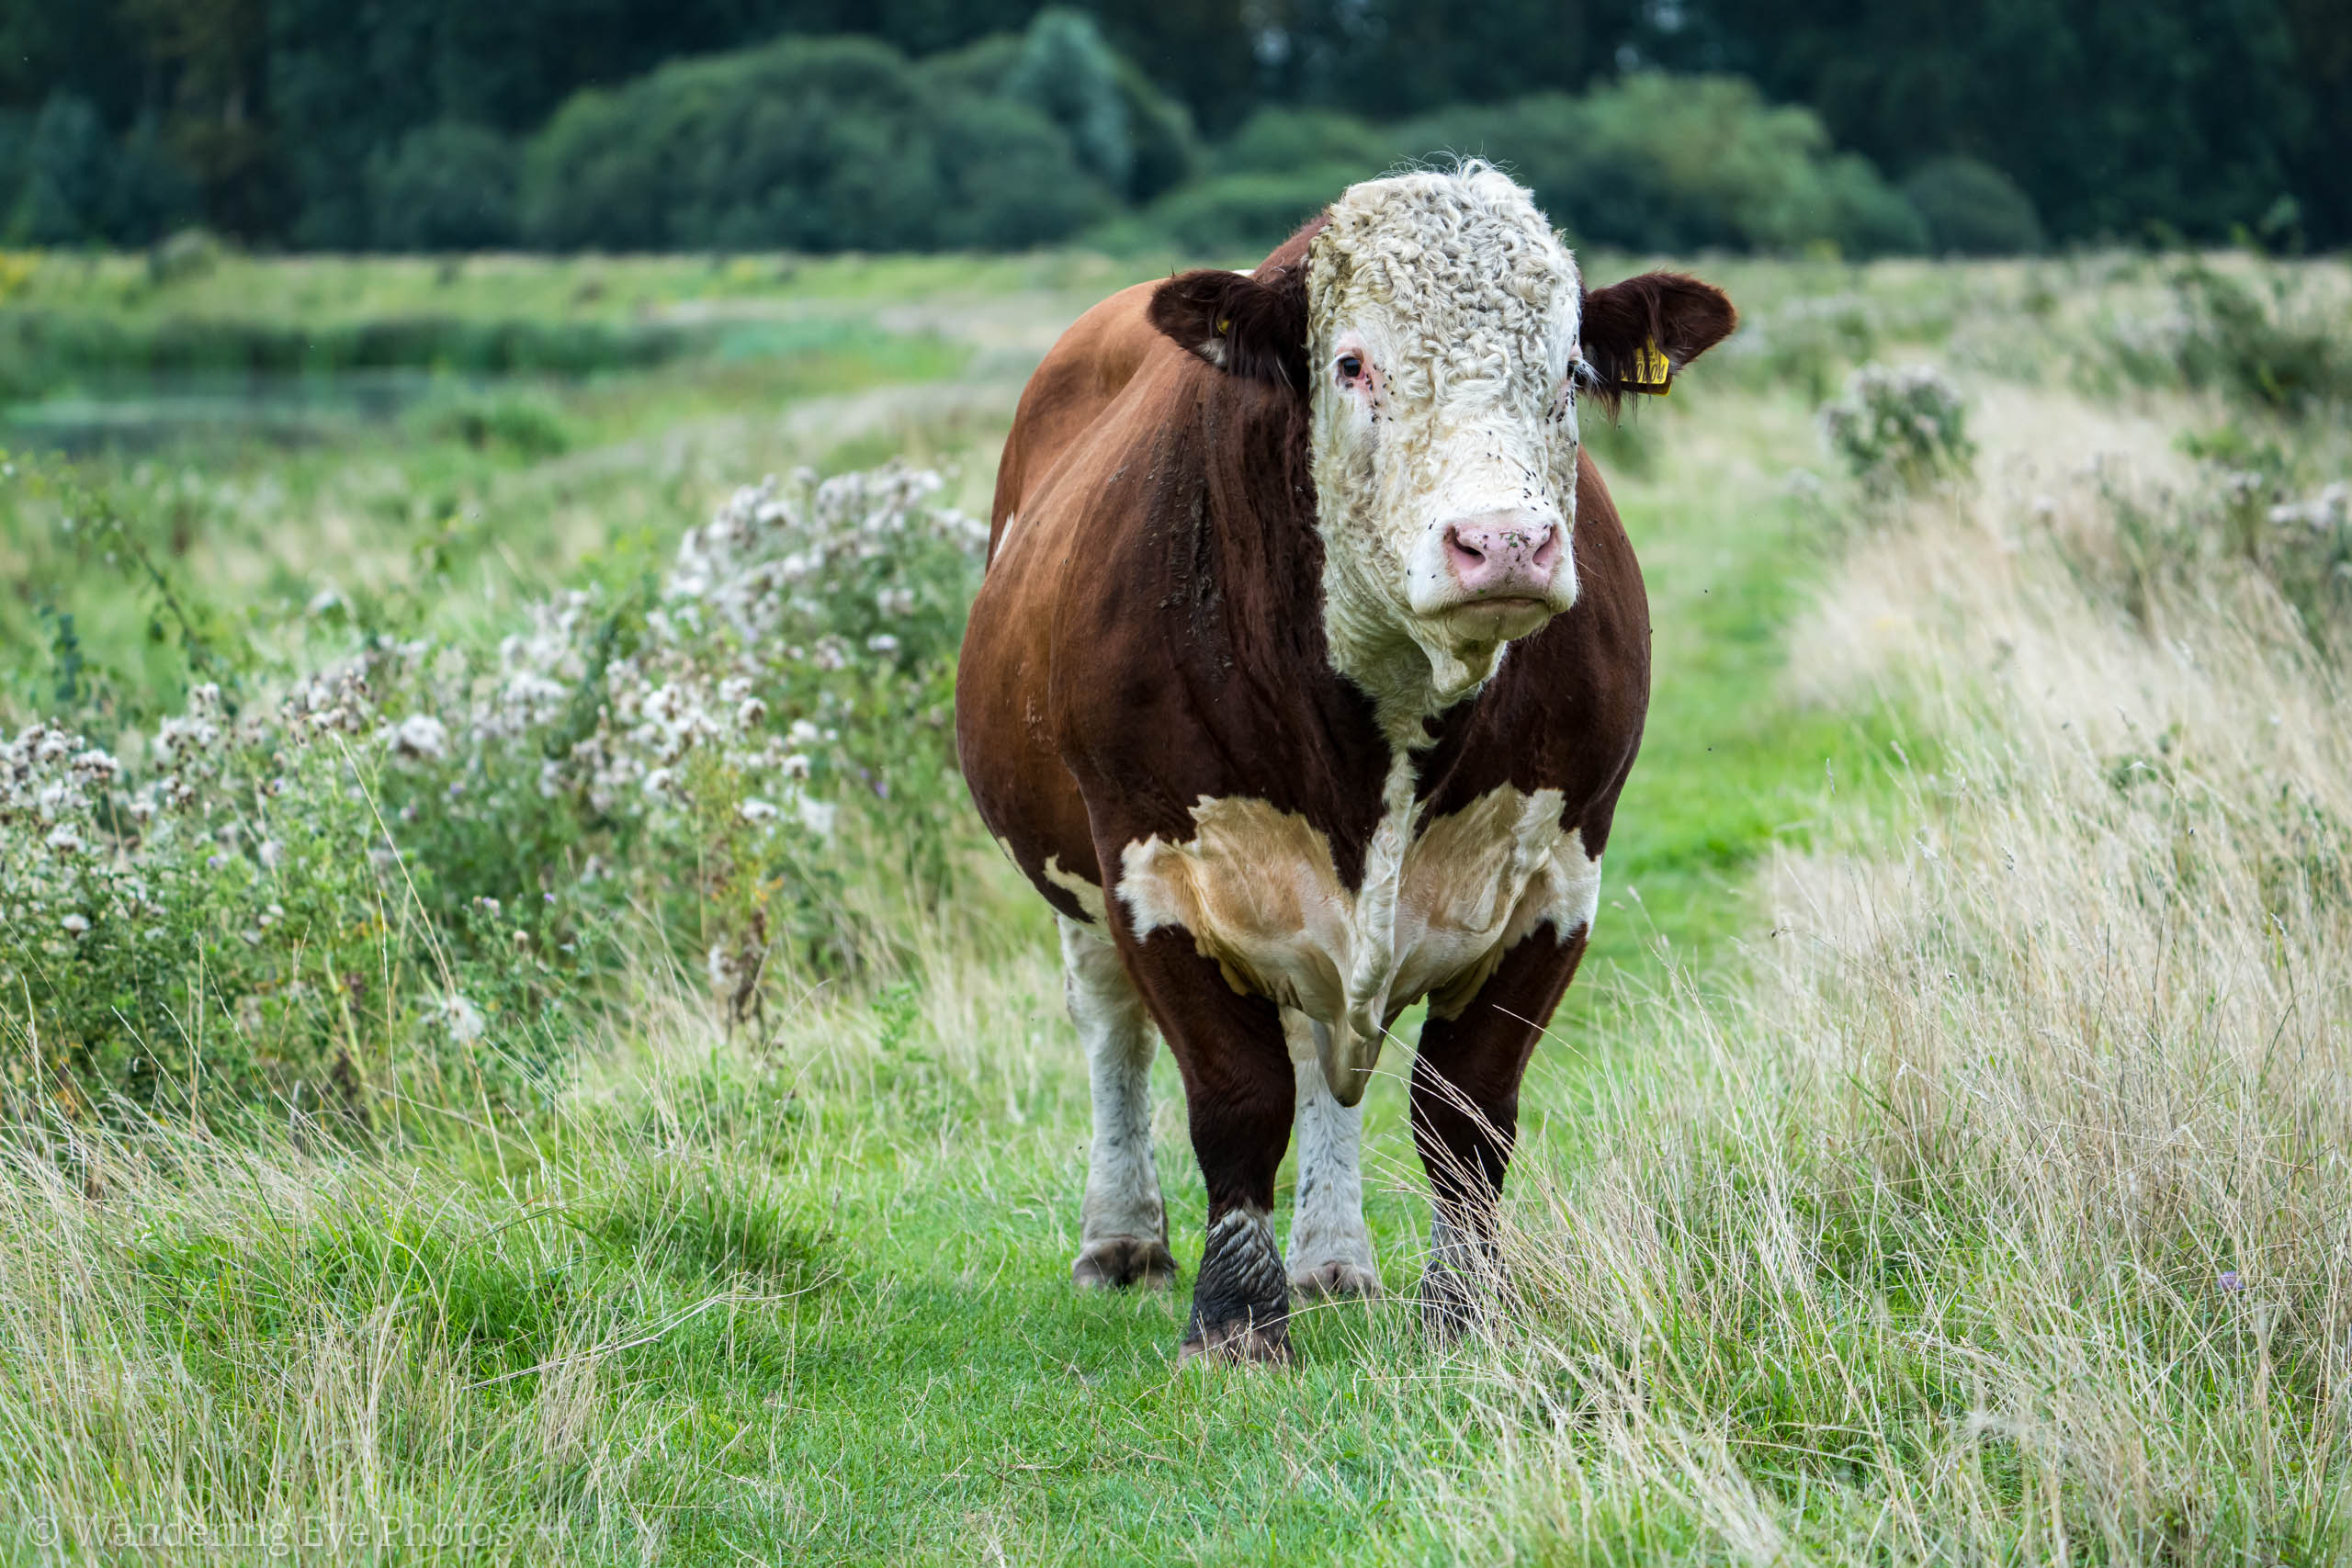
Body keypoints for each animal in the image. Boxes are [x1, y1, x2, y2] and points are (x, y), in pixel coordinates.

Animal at [956, 163, 1736, 1363]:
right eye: (1351, 363)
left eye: (1568, 370)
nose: (1503, 543)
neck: (1388, 722)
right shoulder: (1151, 870)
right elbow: (1236, 1100)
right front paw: (1236, 1320)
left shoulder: (1560, 878)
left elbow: (1464, 1113)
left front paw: (1462, 1314)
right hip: (1076, 878)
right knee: (1112, 1031)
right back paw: (1122, 1239)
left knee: (1319, 1039)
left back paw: (1331, 1259)